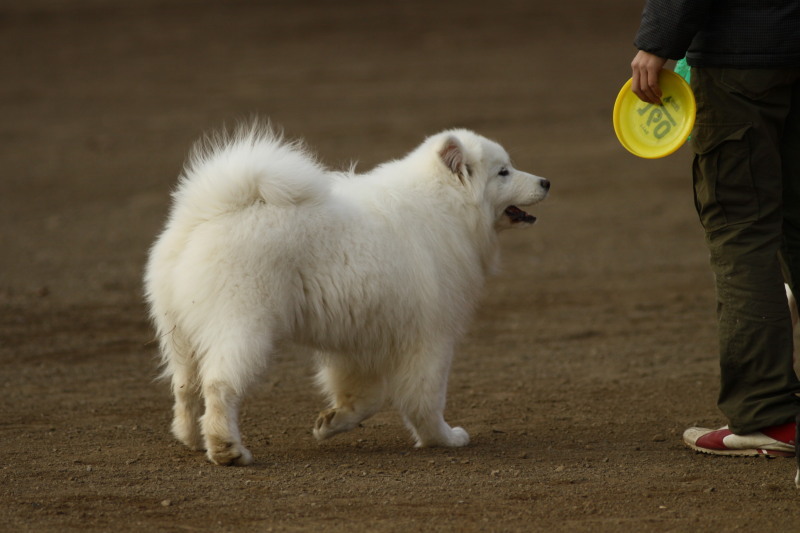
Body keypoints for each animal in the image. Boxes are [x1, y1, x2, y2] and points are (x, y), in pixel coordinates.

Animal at [144, 122, 548, 464]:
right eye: (503, 172)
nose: (546, 181)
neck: (445, 206)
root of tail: (209, 215)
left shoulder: (360, 342)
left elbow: (363, 398)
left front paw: (331, 422)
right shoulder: (430, 338)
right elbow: (426, 399)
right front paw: (444, 438)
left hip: (179, 333)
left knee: (185, 387)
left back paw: (191, 438)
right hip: (243, 327)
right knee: (219, 386)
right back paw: (227, 449)